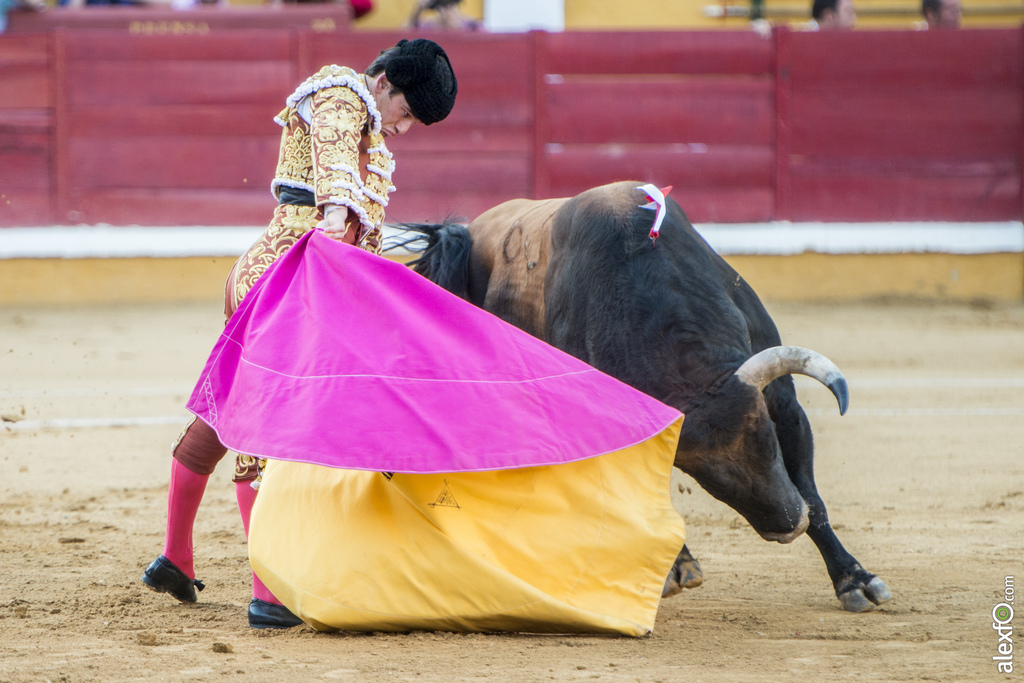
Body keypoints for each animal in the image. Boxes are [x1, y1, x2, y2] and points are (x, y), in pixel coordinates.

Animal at [403, 179, 892, 610]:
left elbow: (813, 495)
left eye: (766, 439)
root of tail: (471, 230)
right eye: (702, 474)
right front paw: (678, 568)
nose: (787, 526)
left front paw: (856, 581)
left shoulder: (784, 404)